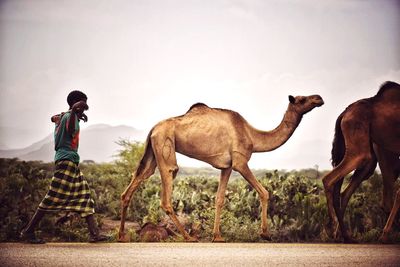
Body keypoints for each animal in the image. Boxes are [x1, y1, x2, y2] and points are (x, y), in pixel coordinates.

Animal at [118, 94, 322, 243]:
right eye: (302, 99)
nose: (319, 98)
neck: (252, 136)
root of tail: (153, 128)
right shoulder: (240, 161)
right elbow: (264, 192)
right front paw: (265, 234)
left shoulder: (227, 166)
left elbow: (219, 199)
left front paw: (217, 236)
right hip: (164, 144)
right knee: (168, 188)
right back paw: (188, 237)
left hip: (152, 151)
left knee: (135, 182)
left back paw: (122, 236)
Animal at [322, 80, 400, 244]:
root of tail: (344, 114)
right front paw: (385, 235)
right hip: (361, 152)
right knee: (329, 180)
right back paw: (333, 230)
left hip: (367, 157)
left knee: (344, 191)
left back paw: (346, 236)